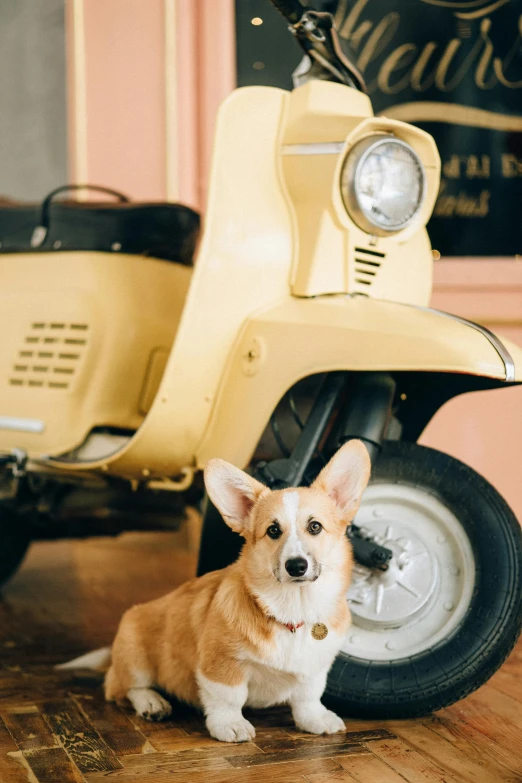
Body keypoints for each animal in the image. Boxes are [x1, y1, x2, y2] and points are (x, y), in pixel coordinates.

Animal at [58, 440, 370, 740]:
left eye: (315, 527)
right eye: (273, 531)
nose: (296, 566)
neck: (293, 610)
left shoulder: (315, 668)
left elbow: (308, 696)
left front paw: (315, 719)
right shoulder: (221, 664)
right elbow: (229, 698)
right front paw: (230, 725)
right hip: (135, 658)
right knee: (122, 690)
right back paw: (152, 702)